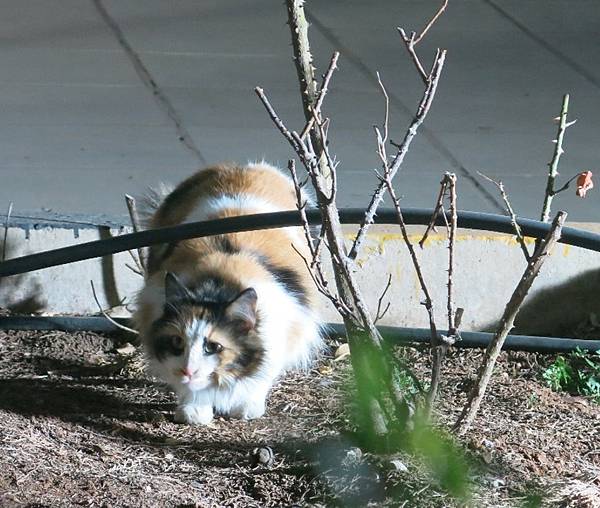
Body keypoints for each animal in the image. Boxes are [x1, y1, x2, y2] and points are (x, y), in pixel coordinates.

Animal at [136, 163, 324, 424]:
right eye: (177, 341)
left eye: (213, 347)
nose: (188, 369)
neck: (217, 283)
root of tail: (242, 166)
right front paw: (195, 412)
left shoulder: (284, 334)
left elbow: (261, 377)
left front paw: (246, 408)